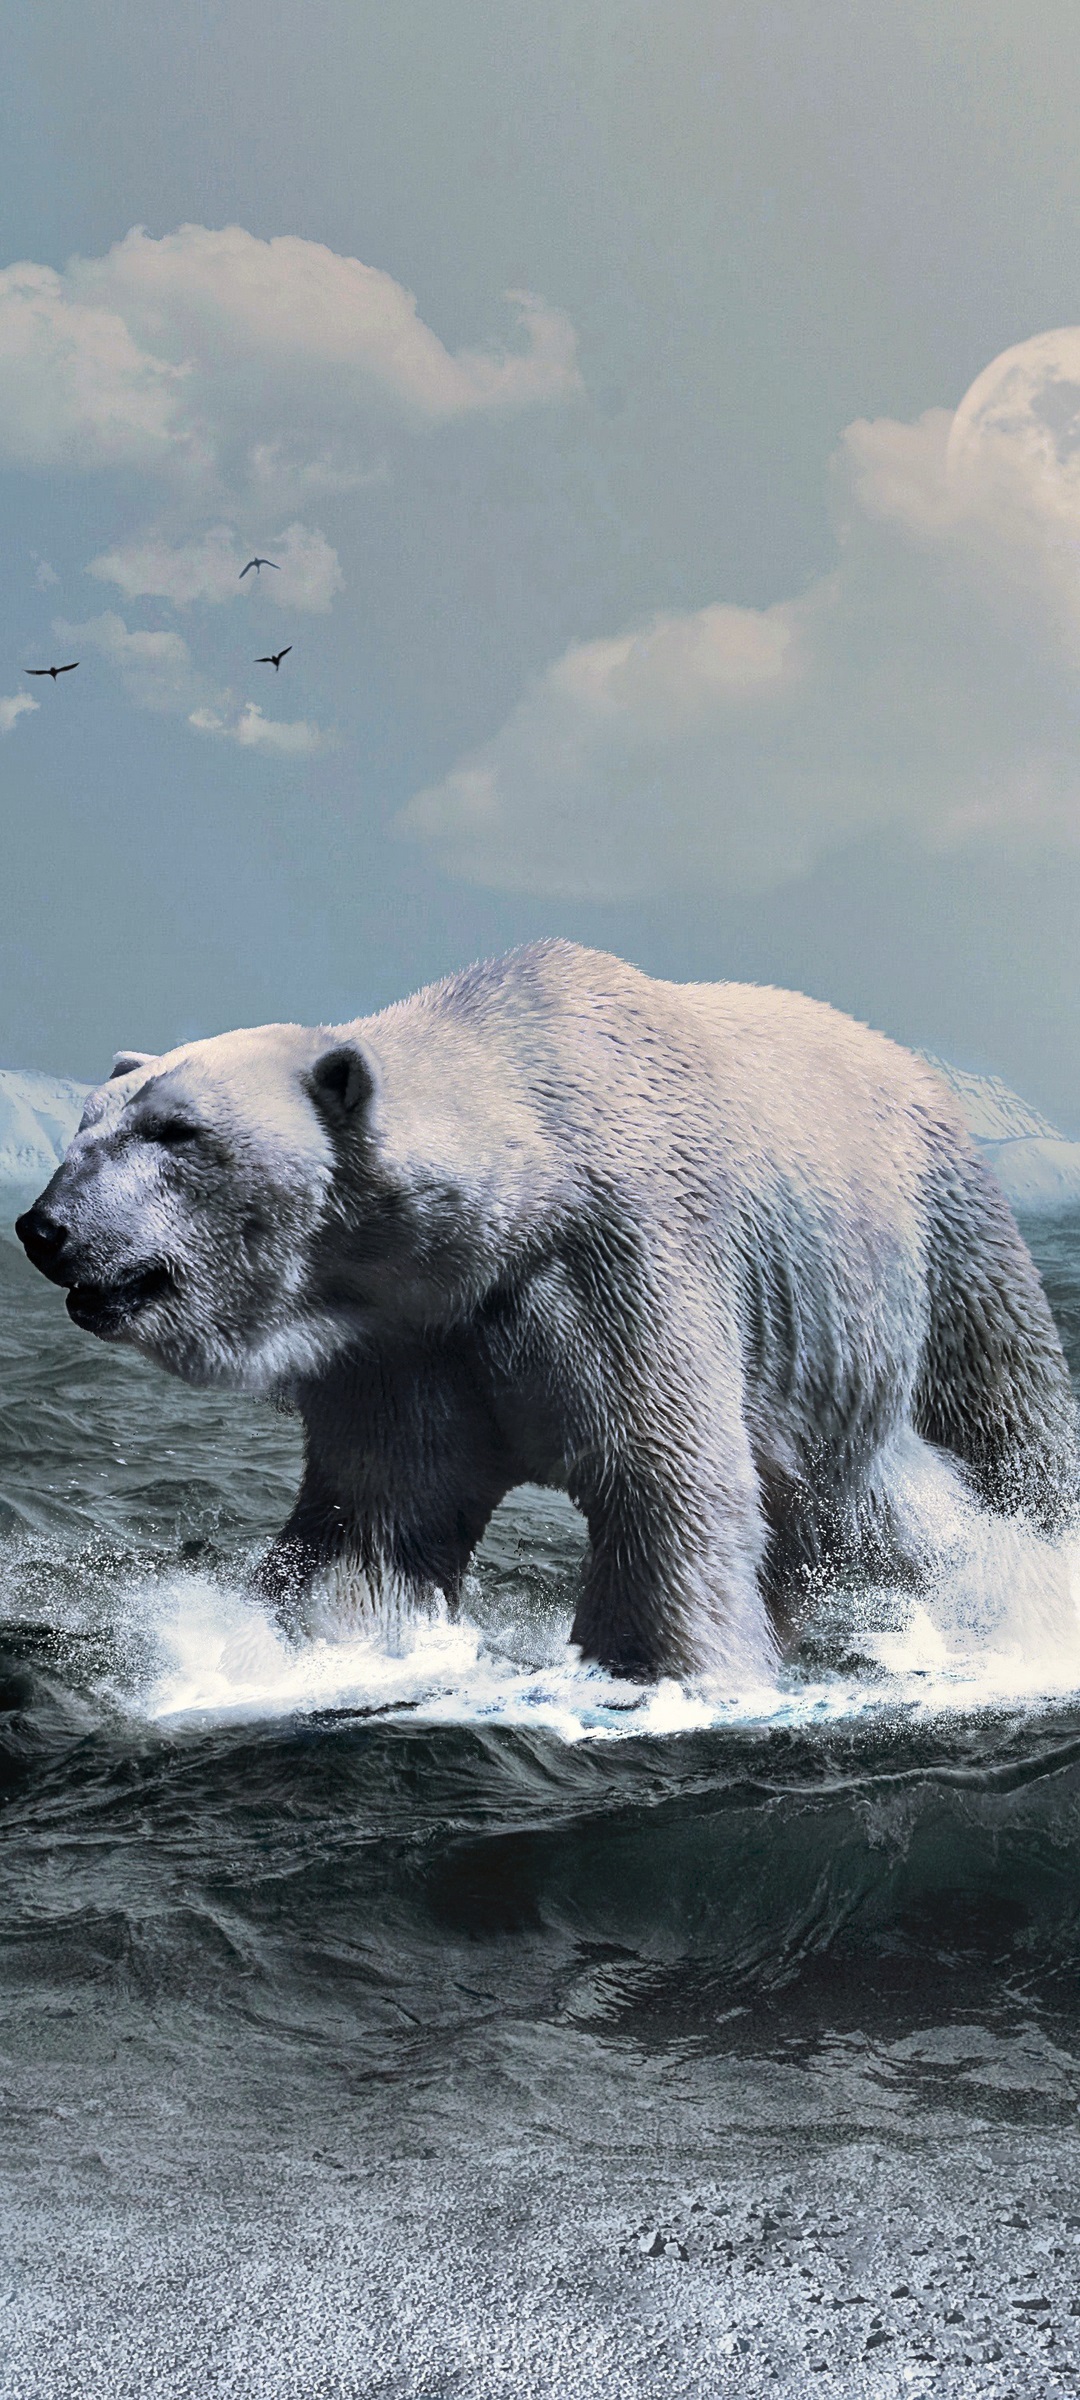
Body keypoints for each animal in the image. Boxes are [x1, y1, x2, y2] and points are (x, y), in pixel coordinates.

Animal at [16, 940, 1078, 1686]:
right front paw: (309, 1649)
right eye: (86, 1125)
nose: (42, 1227)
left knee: (987, 1433)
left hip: (939, 1242)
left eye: (176, 1131)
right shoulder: (408, 1340)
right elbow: (376, 1516)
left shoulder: (622, 1259)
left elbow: (663, 1481)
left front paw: (660, 1673)